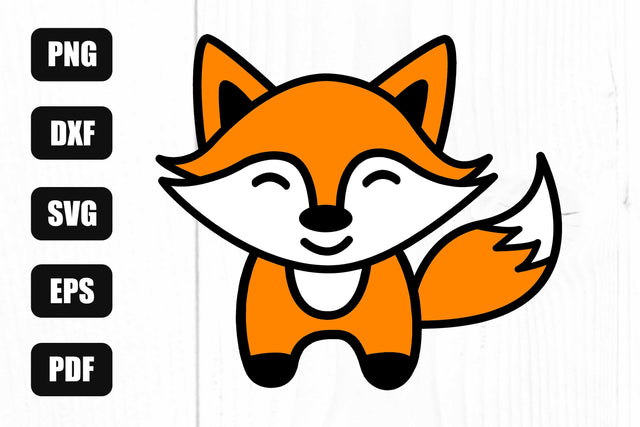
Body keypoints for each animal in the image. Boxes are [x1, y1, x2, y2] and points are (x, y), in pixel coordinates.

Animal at [157, 35, 561, 390]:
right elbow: (269, 350)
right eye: (272, 181)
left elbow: (388, 351)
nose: (325, 219)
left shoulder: (389, 322)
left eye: (378, 179)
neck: (327, 278)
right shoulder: (264, 323)